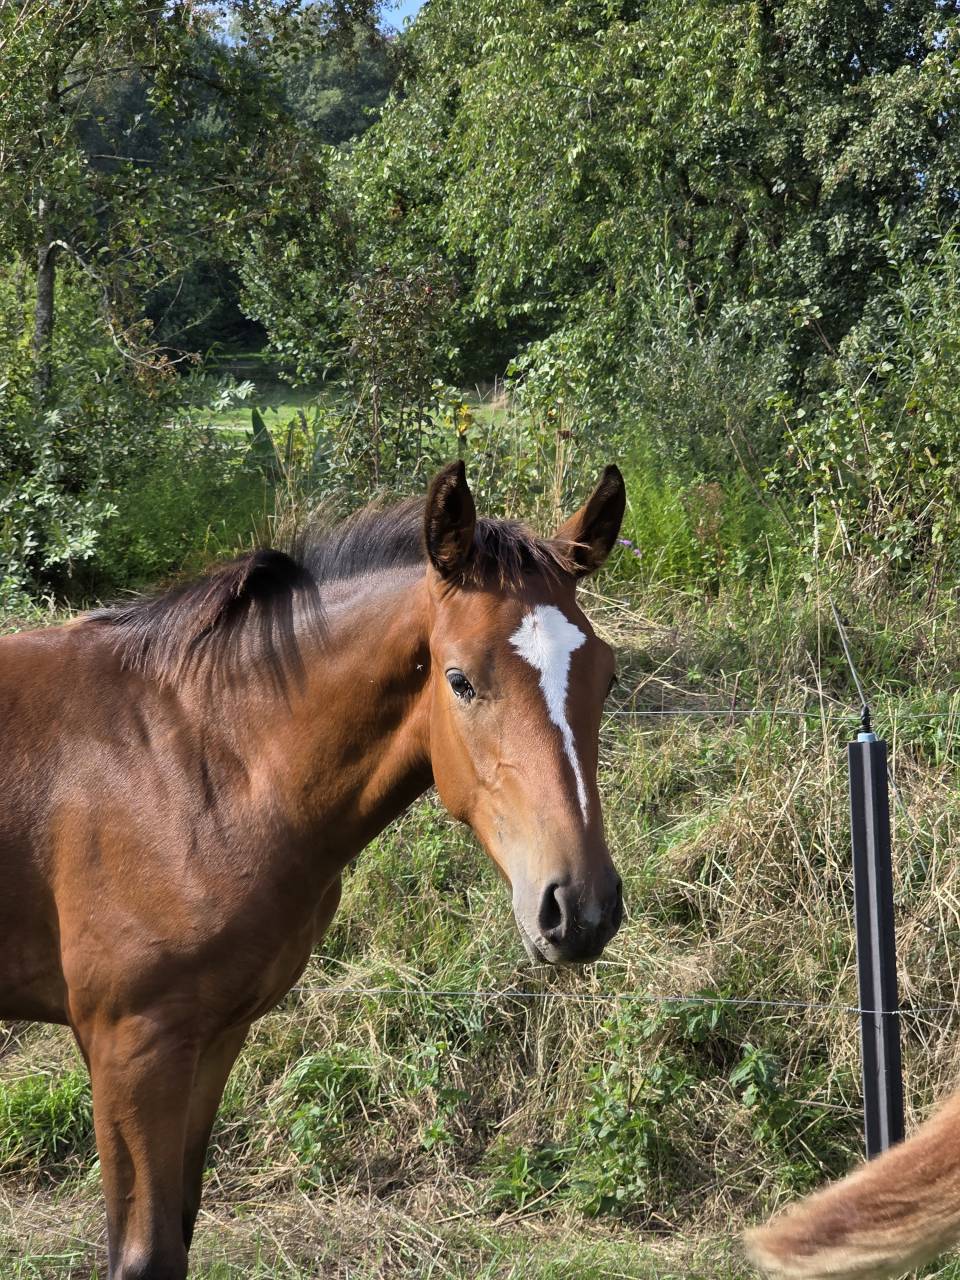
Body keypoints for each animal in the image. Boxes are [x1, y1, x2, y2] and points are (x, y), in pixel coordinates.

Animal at [0, 460, 627, 1279]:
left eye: (606, 678)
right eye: (460, 679)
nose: (581, 907)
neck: (190, 763)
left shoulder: (212, 1039)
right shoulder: (129, 1045)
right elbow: (143, 1254)